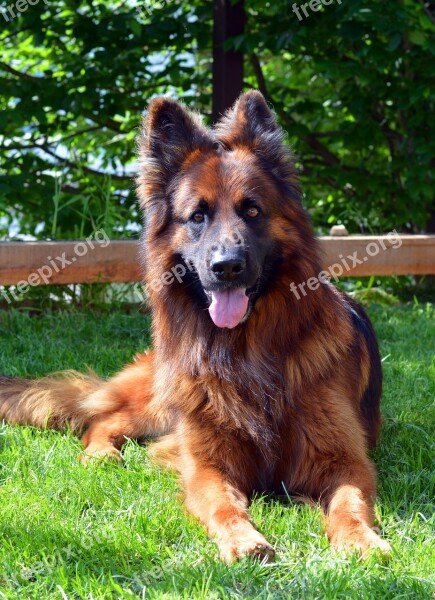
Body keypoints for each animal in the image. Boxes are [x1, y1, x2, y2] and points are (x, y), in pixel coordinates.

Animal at [0, 91, 392, 560]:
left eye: (252, 210)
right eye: (198, 217)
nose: (227, 267)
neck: (245, 351)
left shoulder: (344, 460)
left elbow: (350, 502)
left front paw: (361, 540)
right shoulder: (207, 464)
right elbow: (222, 502)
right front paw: (241, 538)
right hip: (159, 403)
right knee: (103, 420)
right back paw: (101, 455)